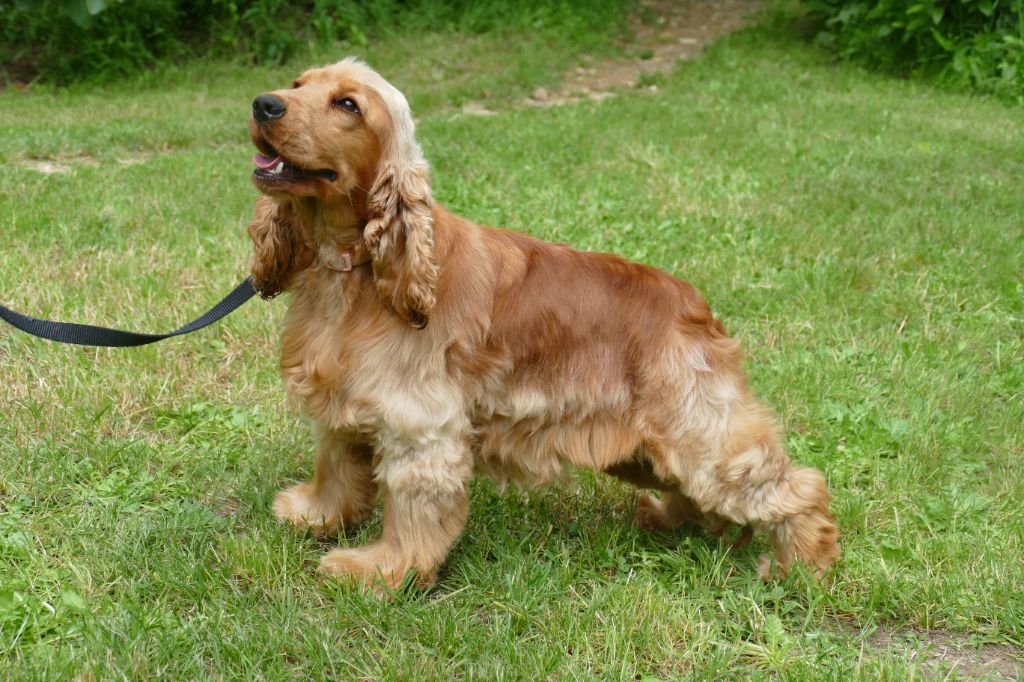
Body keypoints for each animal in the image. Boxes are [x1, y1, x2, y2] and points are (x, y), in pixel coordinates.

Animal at [246, 57, 840, 589]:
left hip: (702, 437)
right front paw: (316, 513)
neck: (355, 267)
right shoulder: (345, 401)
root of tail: (695, 307)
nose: (263, 103)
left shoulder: (420, 425)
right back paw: (667, 519)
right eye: (297, 83)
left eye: (347, 104)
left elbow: (412, 514)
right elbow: (336, 465)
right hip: (646, 451)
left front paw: (381, 571)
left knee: (798, 487)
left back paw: (801, 566)